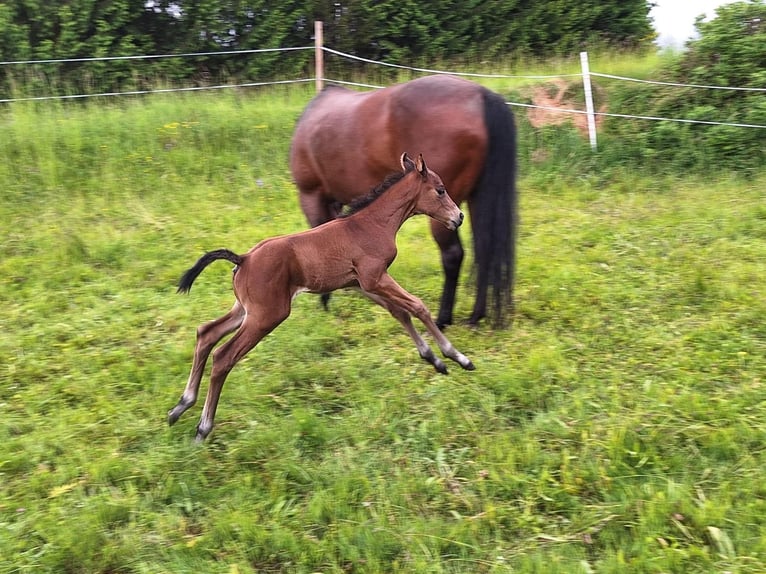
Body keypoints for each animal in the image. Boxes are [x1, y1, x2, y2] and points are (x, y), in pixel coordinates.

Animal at [169, 153, 475, 442]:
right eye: (440, 190)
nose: (458, 217)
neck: (372, 223)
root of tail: (243, 259)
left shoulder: (361, 284)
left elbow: (400, 312)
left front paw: (434, 360)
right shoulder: (374, 278)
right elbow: (418, 306)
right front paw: (458, 357)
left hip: (245, 310)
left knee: (206, 333)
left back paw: (181, 406)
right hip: (267, 316)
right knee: (223, 356)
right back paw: (203, 428)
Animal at [290, 74, 518, 329]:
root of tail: (481, 95)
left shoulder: (311, 196)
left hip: (444, 215)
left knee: (453, 255)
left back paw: (442, 319)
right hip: (474, 200)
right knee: (483, 251)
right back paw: (476, 316)